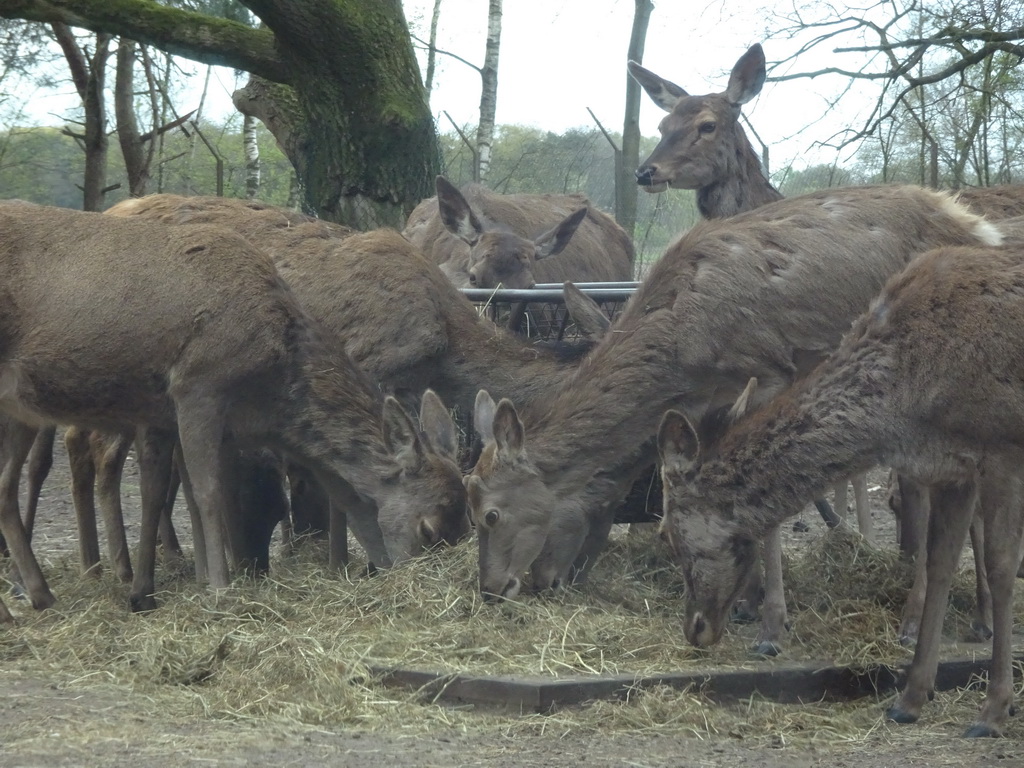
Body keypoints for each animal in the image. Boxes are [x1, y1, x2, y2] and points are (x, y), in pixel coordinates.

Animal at [0, 201, 464, 618]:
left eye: (461, 531)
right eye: (428, 528)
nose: (400, 578)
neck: (266, 396)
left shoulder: (175, 415)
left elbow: (174, 492)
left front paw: (156, 590)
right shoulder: (197, 385)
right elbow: (208, 493)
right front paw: (220, 589)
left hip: (19, 408)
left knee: (5, 485)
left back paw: (38, 594)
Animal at [466, 185, 999, 655]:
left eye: (491, 514)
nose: (494, 587)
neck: (684, 351)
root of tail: (982, 229)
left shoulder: (768, 374)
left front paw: (772, 627)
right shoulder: (710, 407)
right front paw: (746, 600)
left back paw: (916, 622)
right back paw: (980, 617)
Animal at [655, 243, 1024, 737]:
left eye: (669, 534)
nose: (694, 629)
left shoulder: (1002, 451)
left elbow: (1002, 568)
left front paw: (994, 709)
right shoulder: (952, 468)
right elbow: (941, 563)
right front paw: (910, 698)